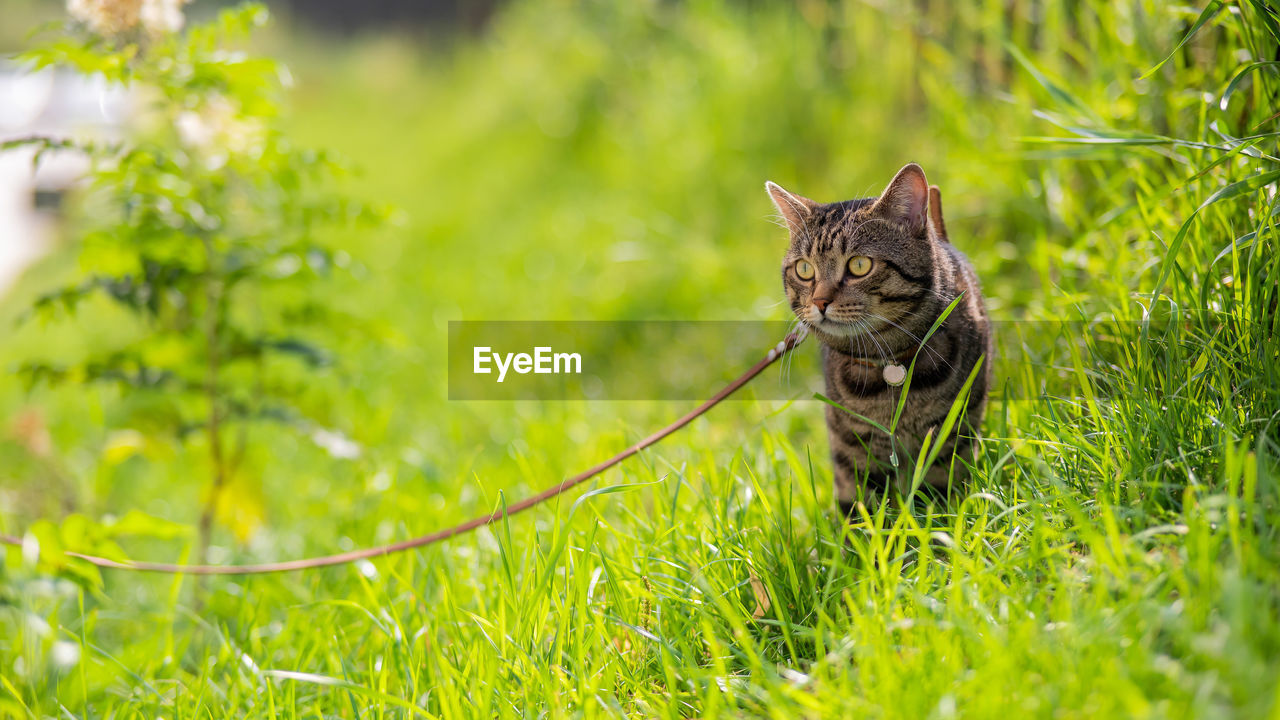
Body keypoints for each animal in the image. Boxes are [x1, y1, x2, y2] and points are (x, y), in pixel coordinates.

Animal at [762, 162, 993, 509]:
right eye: (804, 270)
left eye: (859, 265)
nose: (819, 302)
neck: (888, 362)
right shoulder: (850, 449)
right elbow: (861, 509)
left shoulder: (949, 436)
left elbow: (939, 499)